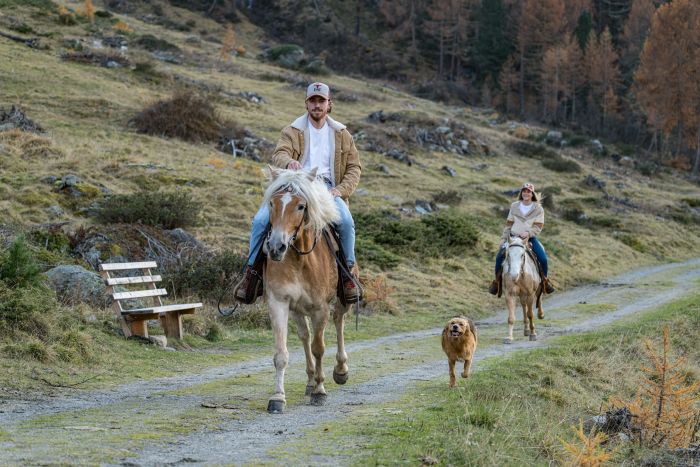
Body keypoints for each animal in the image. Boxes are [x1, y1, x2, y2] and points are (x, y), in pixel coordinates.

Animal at [262, 167, 356, 414]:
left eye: (301, 206)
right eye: (272, 203)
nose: (276, 247)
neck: (299, 260)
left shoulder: (320, 308)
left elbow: (319, 348)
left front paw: (320, 392)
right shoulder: (279, 303)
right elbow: (281, 353)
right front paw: (278, 397)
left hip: (342, 300)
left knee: (339, 322)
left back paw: (340, 370)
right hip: (297, 310)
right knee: (305, 336)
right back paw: (310, 380)